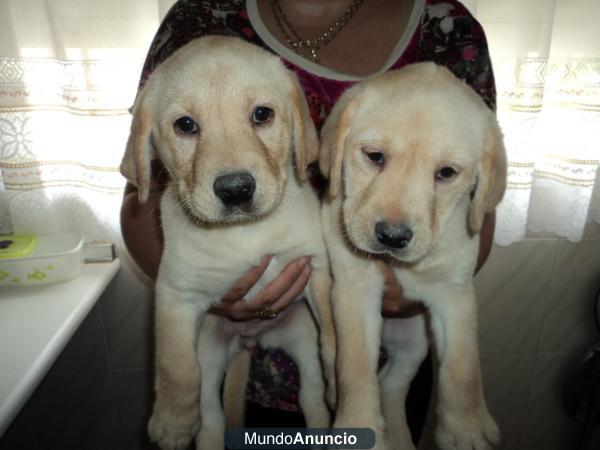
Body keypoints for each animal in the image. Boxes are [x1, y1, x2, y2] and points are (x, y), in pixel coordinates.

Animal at [120, 37, 338, 450]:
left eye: (262, 115)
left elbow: (334, 330)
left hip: (302, 336)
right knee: (210, 416)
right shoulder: (176, 295)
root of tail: (249, 342)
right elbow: (175, 366)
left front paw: (345, 379)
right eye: (186, 125)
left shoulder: (315, 267)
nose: (236, 190)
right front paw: (172, 422)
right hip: (209, 350)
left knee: (312, 397)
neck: (244, 232)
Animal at [318, 61, 506, 448]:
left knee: (391, 384)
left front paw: (466, 427)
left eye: (446, 173)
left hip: (415, 340)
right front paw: (359, 424)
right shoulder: (354, 288)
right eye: (374, 156)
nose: (392, 237)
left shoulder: (454, 293)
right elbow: (354, 367)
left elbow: (463, 365)